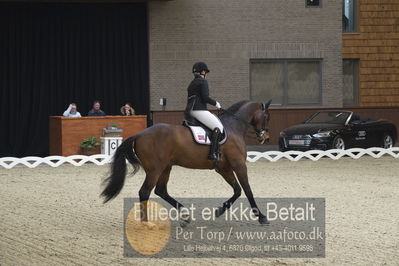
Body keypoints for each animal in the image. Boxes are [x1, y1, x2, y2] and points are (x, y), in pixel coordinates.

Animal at [101, 100, 274, 224]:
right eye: (266, 116)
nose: (265, 137)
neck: (233, 127)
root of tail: (139, 134)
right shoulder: (239, 165)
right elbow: (247, 190)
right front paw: (261, 217)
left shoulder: (224, 168)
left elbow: (237, 190)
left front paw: (219, 211)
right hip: (155, 169)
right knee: (144, 192)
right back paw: (146, 223)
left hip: (166, 167)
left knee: (161, 191)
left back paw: (185, 215)